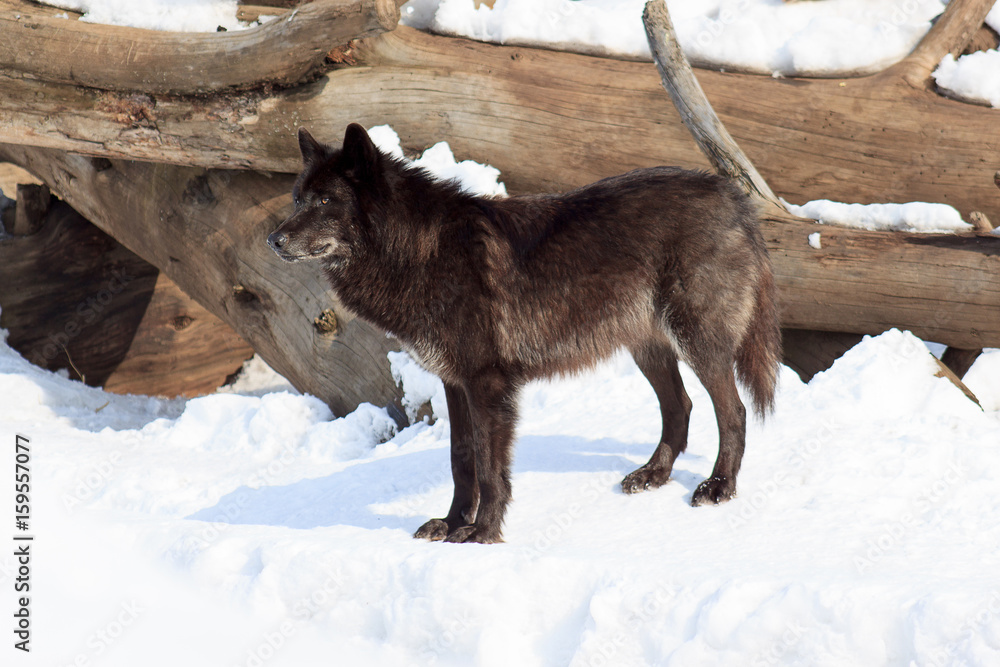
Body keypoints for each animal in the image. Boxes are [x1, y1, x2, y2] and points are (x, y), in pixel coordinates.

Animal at [268, 124, 781, 544]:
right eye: (297, 199)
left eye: (326, 201)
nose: (274, 240)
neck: (421, 250)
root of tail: (729, 193)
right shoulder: (454, 383)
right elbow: (461, 461)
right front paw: (451, 524)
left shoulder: (488, 384)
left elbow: (490, 469)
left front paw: (483, 533)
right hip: (648, 348)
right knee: (680, 406)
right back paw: (653, 475)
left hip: (697, 342)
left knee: (733, 411)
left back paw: (719, 487)